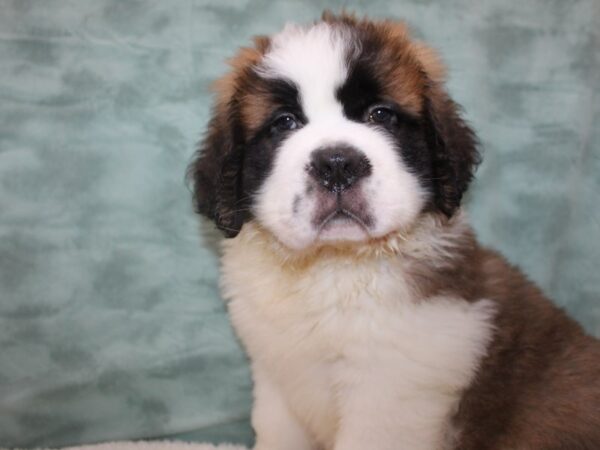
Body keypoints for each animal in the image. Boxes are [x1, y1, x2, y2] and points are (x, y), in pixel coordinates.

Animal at [188, 10, 600, 450]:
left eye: (381, 115)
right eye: (284, 123)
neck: (333, 267)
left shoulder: (392, 394)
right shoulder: (277, 374)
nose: (337, 165)